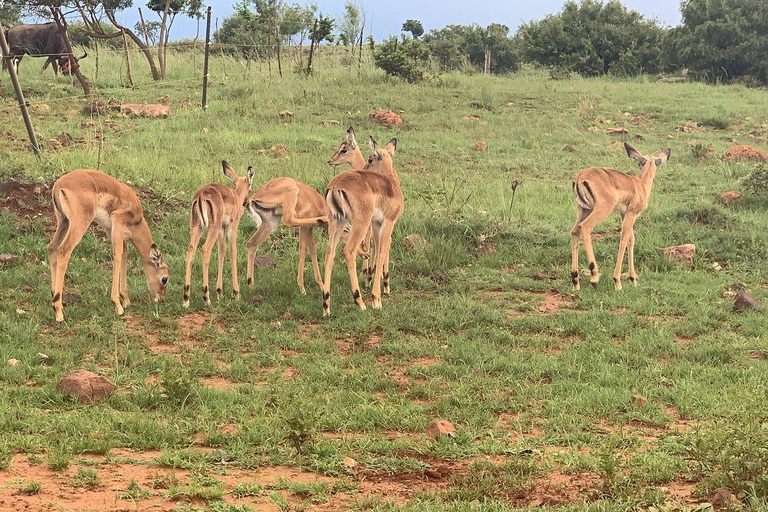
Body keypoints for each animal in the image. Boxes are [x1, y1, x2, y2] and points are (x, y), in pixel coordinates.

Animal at [48, 170, 170, 322]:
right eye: (164, 279)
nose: (162, 299)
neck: (137, 219)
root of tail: (59, 184)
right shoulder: (118, 223)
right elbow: (117, 256)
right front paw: (118, 305)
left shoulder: (109, 229)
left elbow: (124, 252)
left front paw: (126, 300)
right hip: (79, 224)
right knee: (63, 250)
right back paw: (59, 312)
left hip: (63, 221)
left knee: (52, 248)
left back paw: (55, 300)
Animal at [183, 160, 255, 306]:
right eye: (250, 187)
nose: (247, 202)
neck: (235, 197)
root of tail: (201, 196)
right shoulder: (232, 226)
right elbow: (233, 252)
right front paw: (236, 292)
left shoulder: (222, 228)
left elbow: (222, 251)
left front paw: (219, 292)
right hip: (212, 228)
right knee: (205, 249)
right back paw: (206, 298)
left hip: (197, 227)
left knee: (190, 250)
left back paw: (186, 299)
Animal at [320, 135, 402, 316]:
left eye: (370, 159)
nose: (364, 168)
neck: (390, 183)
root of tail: (335, 185)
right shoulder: (388, 222)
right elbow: (382, 250)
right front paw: (377, 298)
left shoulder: (377, 224)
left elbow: (378, 248)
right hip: (360, 223)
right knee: (348, 252)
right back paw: (359, 301)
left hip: (337, 222)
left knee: (329, 253)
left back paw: (326, 305)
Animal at [568, 142, 672, 290]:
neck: (641, 186)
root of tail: (580, 176)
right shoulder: (632, 213)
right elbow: (624, 238)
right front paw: (617, 281)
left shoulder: (624, 213)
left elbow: (631, 239)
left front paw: (633, 280)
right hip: (602, 210)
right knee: (585, 227)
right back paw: (594, 277)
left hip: (584, 210)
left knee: (574, 232)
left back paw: (576, 282)